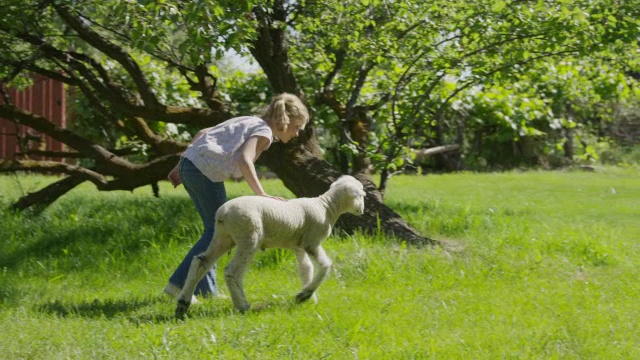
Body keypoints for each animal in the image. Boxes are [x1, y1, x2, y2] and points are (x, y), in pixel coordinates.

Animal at [175, 176, 364, 320]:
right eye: (362, 196)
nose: (362, 210)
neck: (326, 207)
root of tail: (223, 213)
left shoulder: (299, 245)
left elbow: (306, 269)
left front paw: (308, 297)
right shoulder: (312, 242)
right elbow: (325, 265)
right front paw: (306, 294)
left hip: (224, 237)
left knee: (200, 263)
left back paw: (182, 304)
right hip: (249, 236)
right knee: (232, 272)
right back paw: (242, 305)